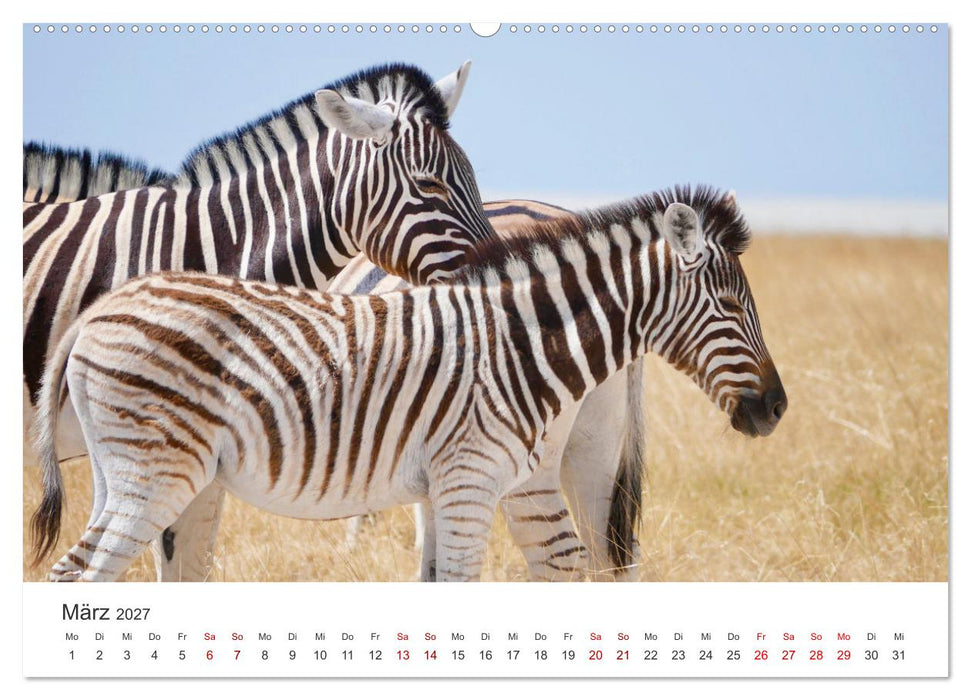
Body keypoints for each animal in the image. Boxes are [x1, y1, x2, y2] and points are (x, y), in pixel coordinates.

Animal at [30, 185, 787, 582]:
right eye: (729, 304)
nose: (776, 408)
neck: (519, 342)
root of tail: (96, 313)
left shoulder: (460, 482)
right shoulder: (468, 478)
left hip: (128, 473)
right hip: (156, 473)